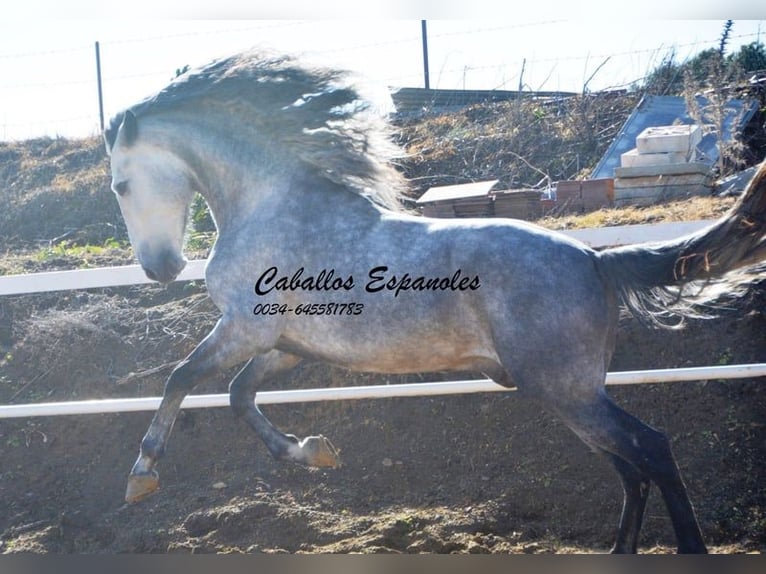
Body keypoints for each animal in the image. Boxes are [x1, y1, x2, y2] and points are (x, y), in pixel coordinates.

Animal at [106, 49, 766, 552]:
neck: (272, 204)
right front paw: (313, 452)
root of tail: (594, 260)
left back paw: (687, 549)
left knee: (651, 451)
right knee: (631, 470)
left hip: (565, 389)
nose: (160, 269)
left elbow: (182, 377)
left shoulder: (244, 328)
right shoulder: (285, 344)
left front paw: (141, 475)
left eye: (119, 183)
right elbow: (239, 395)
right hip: (572, 393)